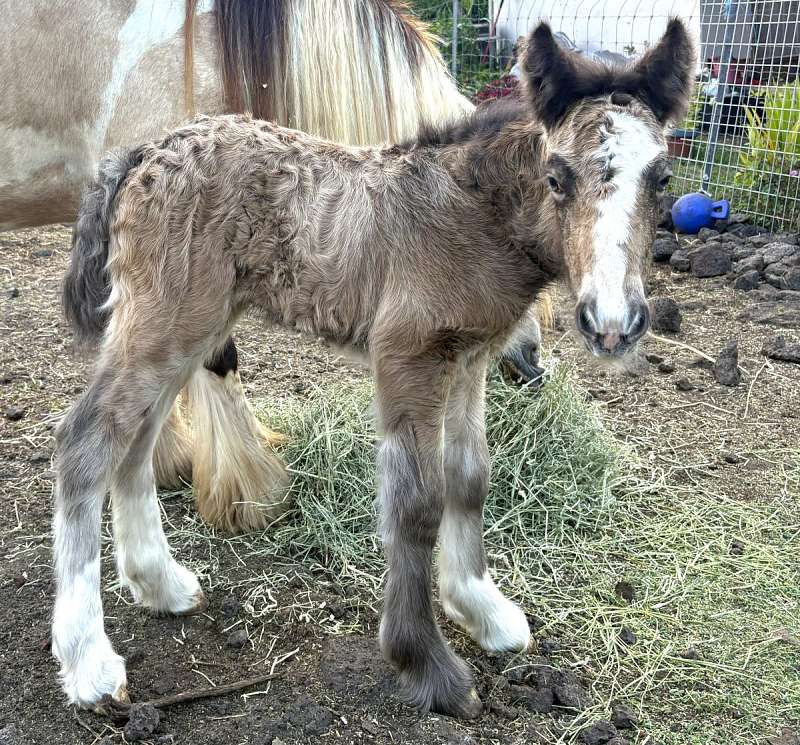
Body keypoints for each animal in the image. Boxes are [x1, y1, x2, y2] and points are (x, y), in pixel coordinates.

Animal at [52, 18, 694, 717]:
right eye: (557, 177)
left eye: (661, 178)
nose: (613, 321)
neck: (469, 217)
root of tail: (143, 152)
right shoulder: (406, 355)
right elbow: (415, 502)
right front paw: (427, 663)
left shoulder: (467, 360)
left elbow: (469, 477)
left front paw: (482, 609)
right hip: (165, 321)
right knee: (86, 441)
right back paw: (88, 662)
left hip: (189, 328)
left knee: (136, 440)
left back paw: (159, 584)